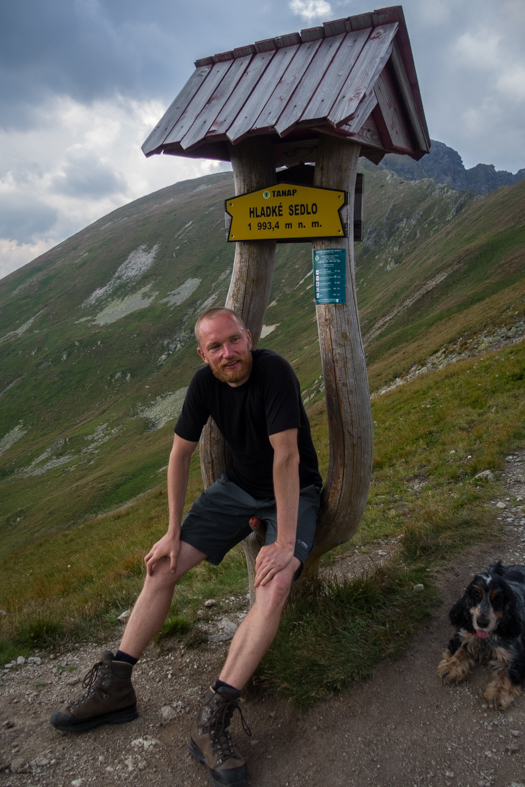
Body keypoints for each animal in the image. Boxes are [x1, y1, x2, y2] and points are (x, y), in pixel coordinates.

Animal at [436, 564, 524, 712]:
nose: (482, 622)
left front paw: (497, 694)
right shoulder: (463, 634)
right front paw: (451, 668)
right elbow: (460, 650)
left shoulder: (516, 656)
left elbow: (507, 673)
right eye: (476, 594)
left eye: (497, 599)